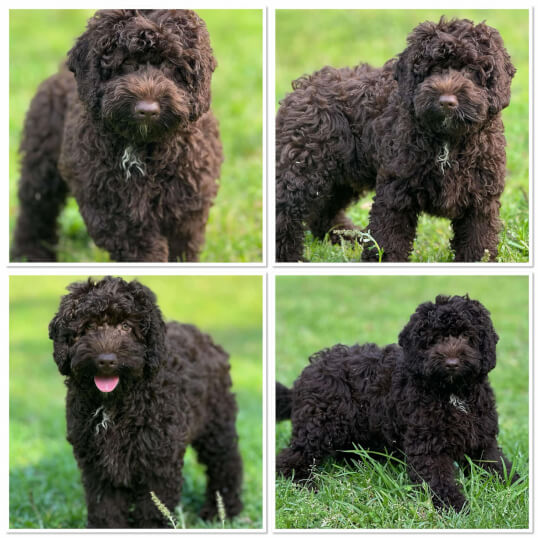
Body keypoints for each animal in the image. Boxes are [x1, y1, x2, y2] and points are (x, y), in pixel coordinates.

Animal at [49, 278, 242, 524]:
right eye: (89, 326)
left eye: (126, 327)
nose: (106, 361)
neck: (113, 405)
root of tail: (204, 337)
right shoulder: (98, 467)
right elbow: (106, 511)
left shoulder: (158, 464)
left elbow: (153, 510)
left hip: (216, 425)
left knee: (226, 463)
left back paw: (222, 511)